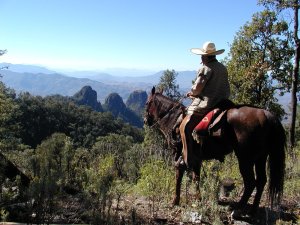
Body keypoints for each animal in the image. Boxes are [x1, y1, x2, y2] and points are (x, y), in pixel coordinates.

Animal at [144, 86, 288, 214]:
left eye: (147, 103)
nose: (145, 121)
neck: (174, 119)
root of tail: (266, 115)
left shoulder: (179, 155)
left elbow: (179, 177)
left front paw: (175, 201)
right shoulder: (197, 159)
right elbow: (196, 178)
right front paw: (198, 199)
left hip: (245, 159)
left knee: (250, 182)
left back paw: (238, 207)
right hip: (260, 158)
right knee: (262, 181)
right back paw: (253, 210)